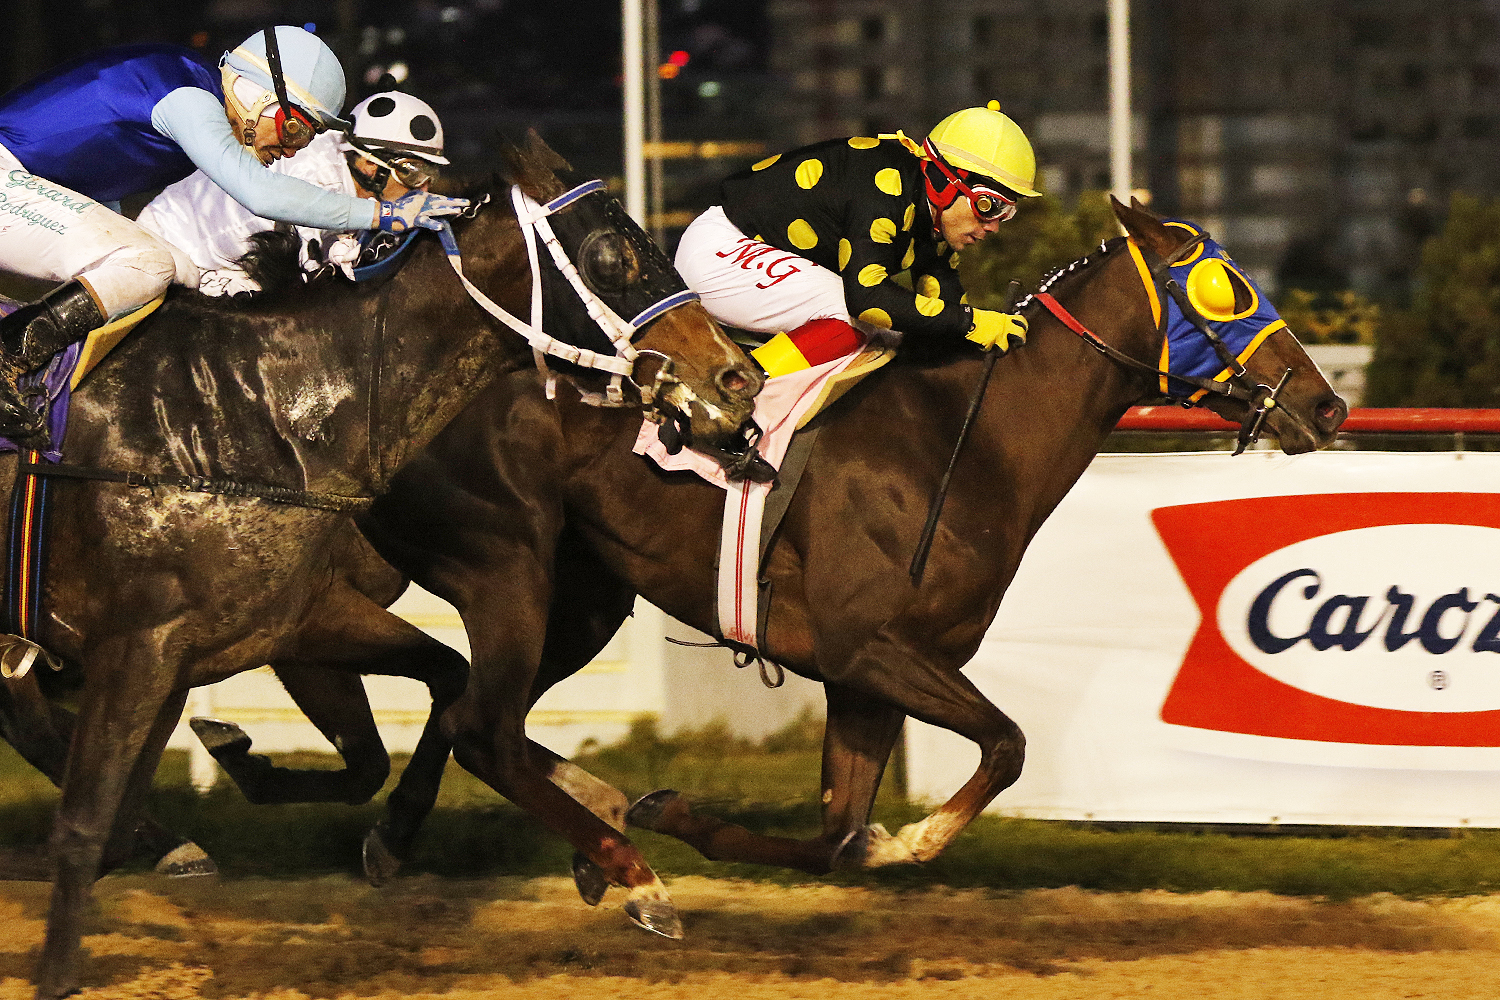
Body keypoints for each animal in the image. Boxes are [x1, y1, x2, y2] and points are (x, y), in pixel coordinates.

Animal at [3, 129, 760, 999]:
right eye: (611, 253)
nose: (738, 378)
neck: (252, 409)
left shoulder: (252, 633)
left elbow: (408, 716)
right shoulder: (143, 646)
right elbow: (85, 824)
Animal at [190, 198, 1348, 936]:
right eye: (1225, 286)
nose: (1328, 403)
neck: (964, 439)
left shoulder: (867, 678)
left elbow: (838, 836)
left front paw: (684, 813)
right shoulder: (867, 645)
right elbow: (1007, 744)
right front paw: (912, 837)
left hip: (582, 593)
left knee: (465, 703)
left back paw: (444, 832)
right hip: (506, 562)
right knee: (474, 715)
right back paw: (608, 859)